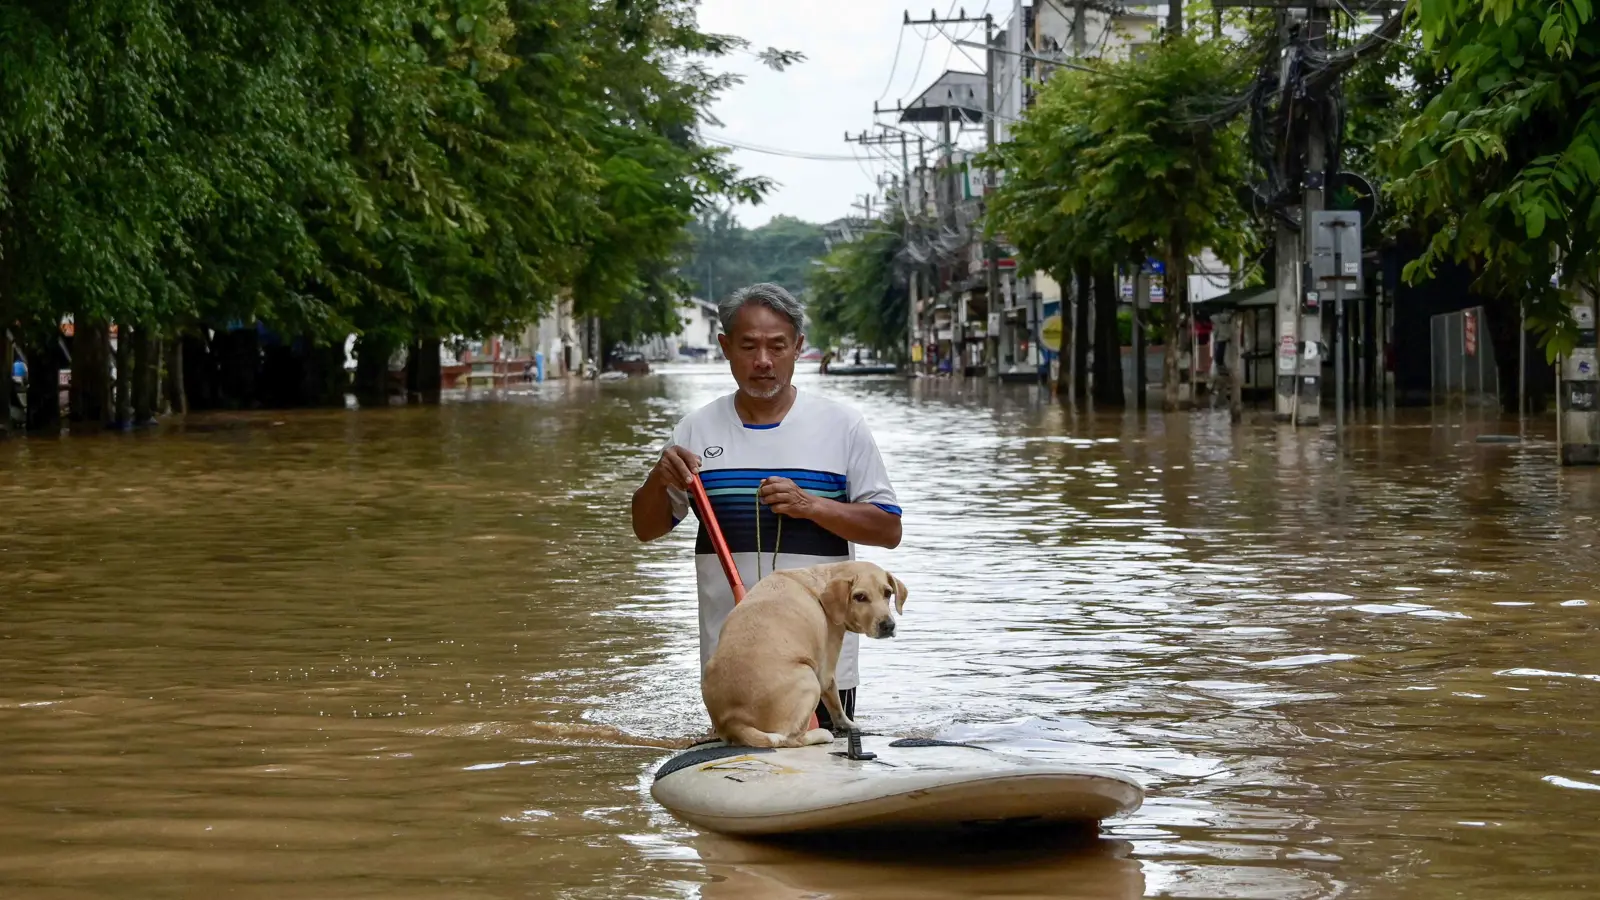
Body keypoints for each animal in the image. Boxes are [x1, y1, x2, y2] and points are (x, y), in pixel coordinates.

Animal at [704, 560, 915, 743]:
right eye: (860, 597)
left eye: (888, 593)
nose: (888, 625)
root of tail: (734, 722)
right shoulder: (826, 670)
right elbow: (836, 704)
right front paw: (849, 725)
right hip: (809, 678)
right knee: (792, 738)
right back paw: (821, 735)